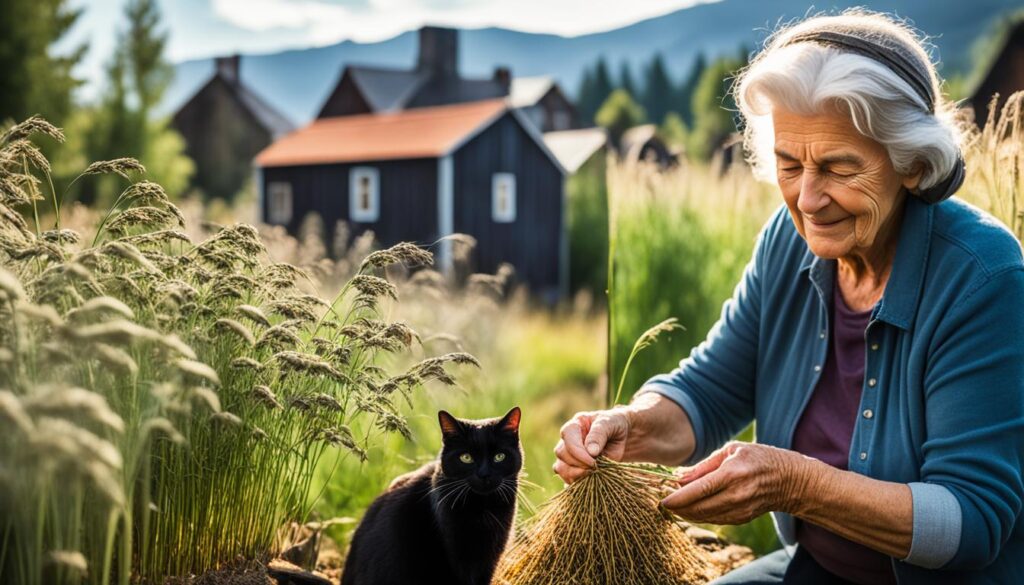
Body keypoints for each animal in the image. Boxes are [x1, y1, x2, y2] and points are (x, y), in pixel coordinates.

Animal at [342, 407, 524, 585]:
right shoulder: (461, 559)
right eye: (466, 458)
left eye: (499, 457)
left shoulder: (489, 561)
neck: (482, 508)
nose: (484, 474)